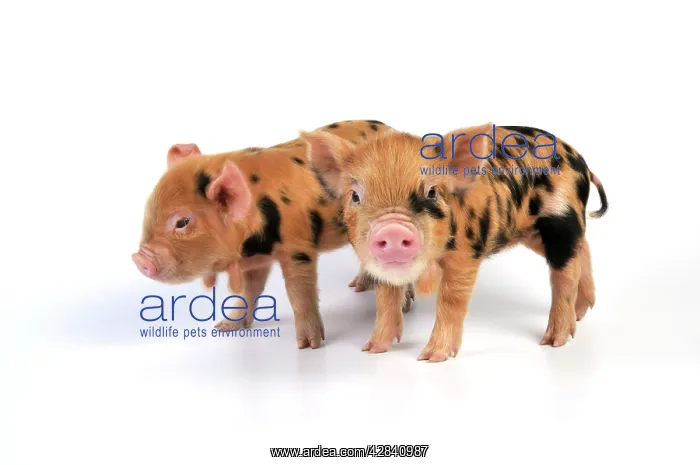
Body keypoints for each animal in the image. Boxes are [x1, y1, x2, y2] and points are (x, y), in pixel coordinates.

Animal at [132, 120, 401, 349]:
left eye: (182, 222)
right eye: (148, 208)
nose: (139, 259)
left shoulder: (299, 247)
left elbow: (299, 293)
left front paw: (308, 346)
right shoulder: (254, 260)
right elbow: (249, 291)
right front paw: (224, 327)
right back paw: (356, 287)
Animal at [302, 122, 608, 361]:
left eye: (432, 191)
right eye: (355, 196)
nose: (392, 229)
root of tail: (582, 162)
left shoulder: (466, 254)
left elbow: (451, 299)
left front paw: (432, 357)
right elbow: (386, 301)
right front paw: (372, 349)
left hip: (560, 220)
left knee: (564, 273)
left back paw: (554, 340)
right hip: (532, 231)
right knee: (584, 249)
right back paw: (581, 312)